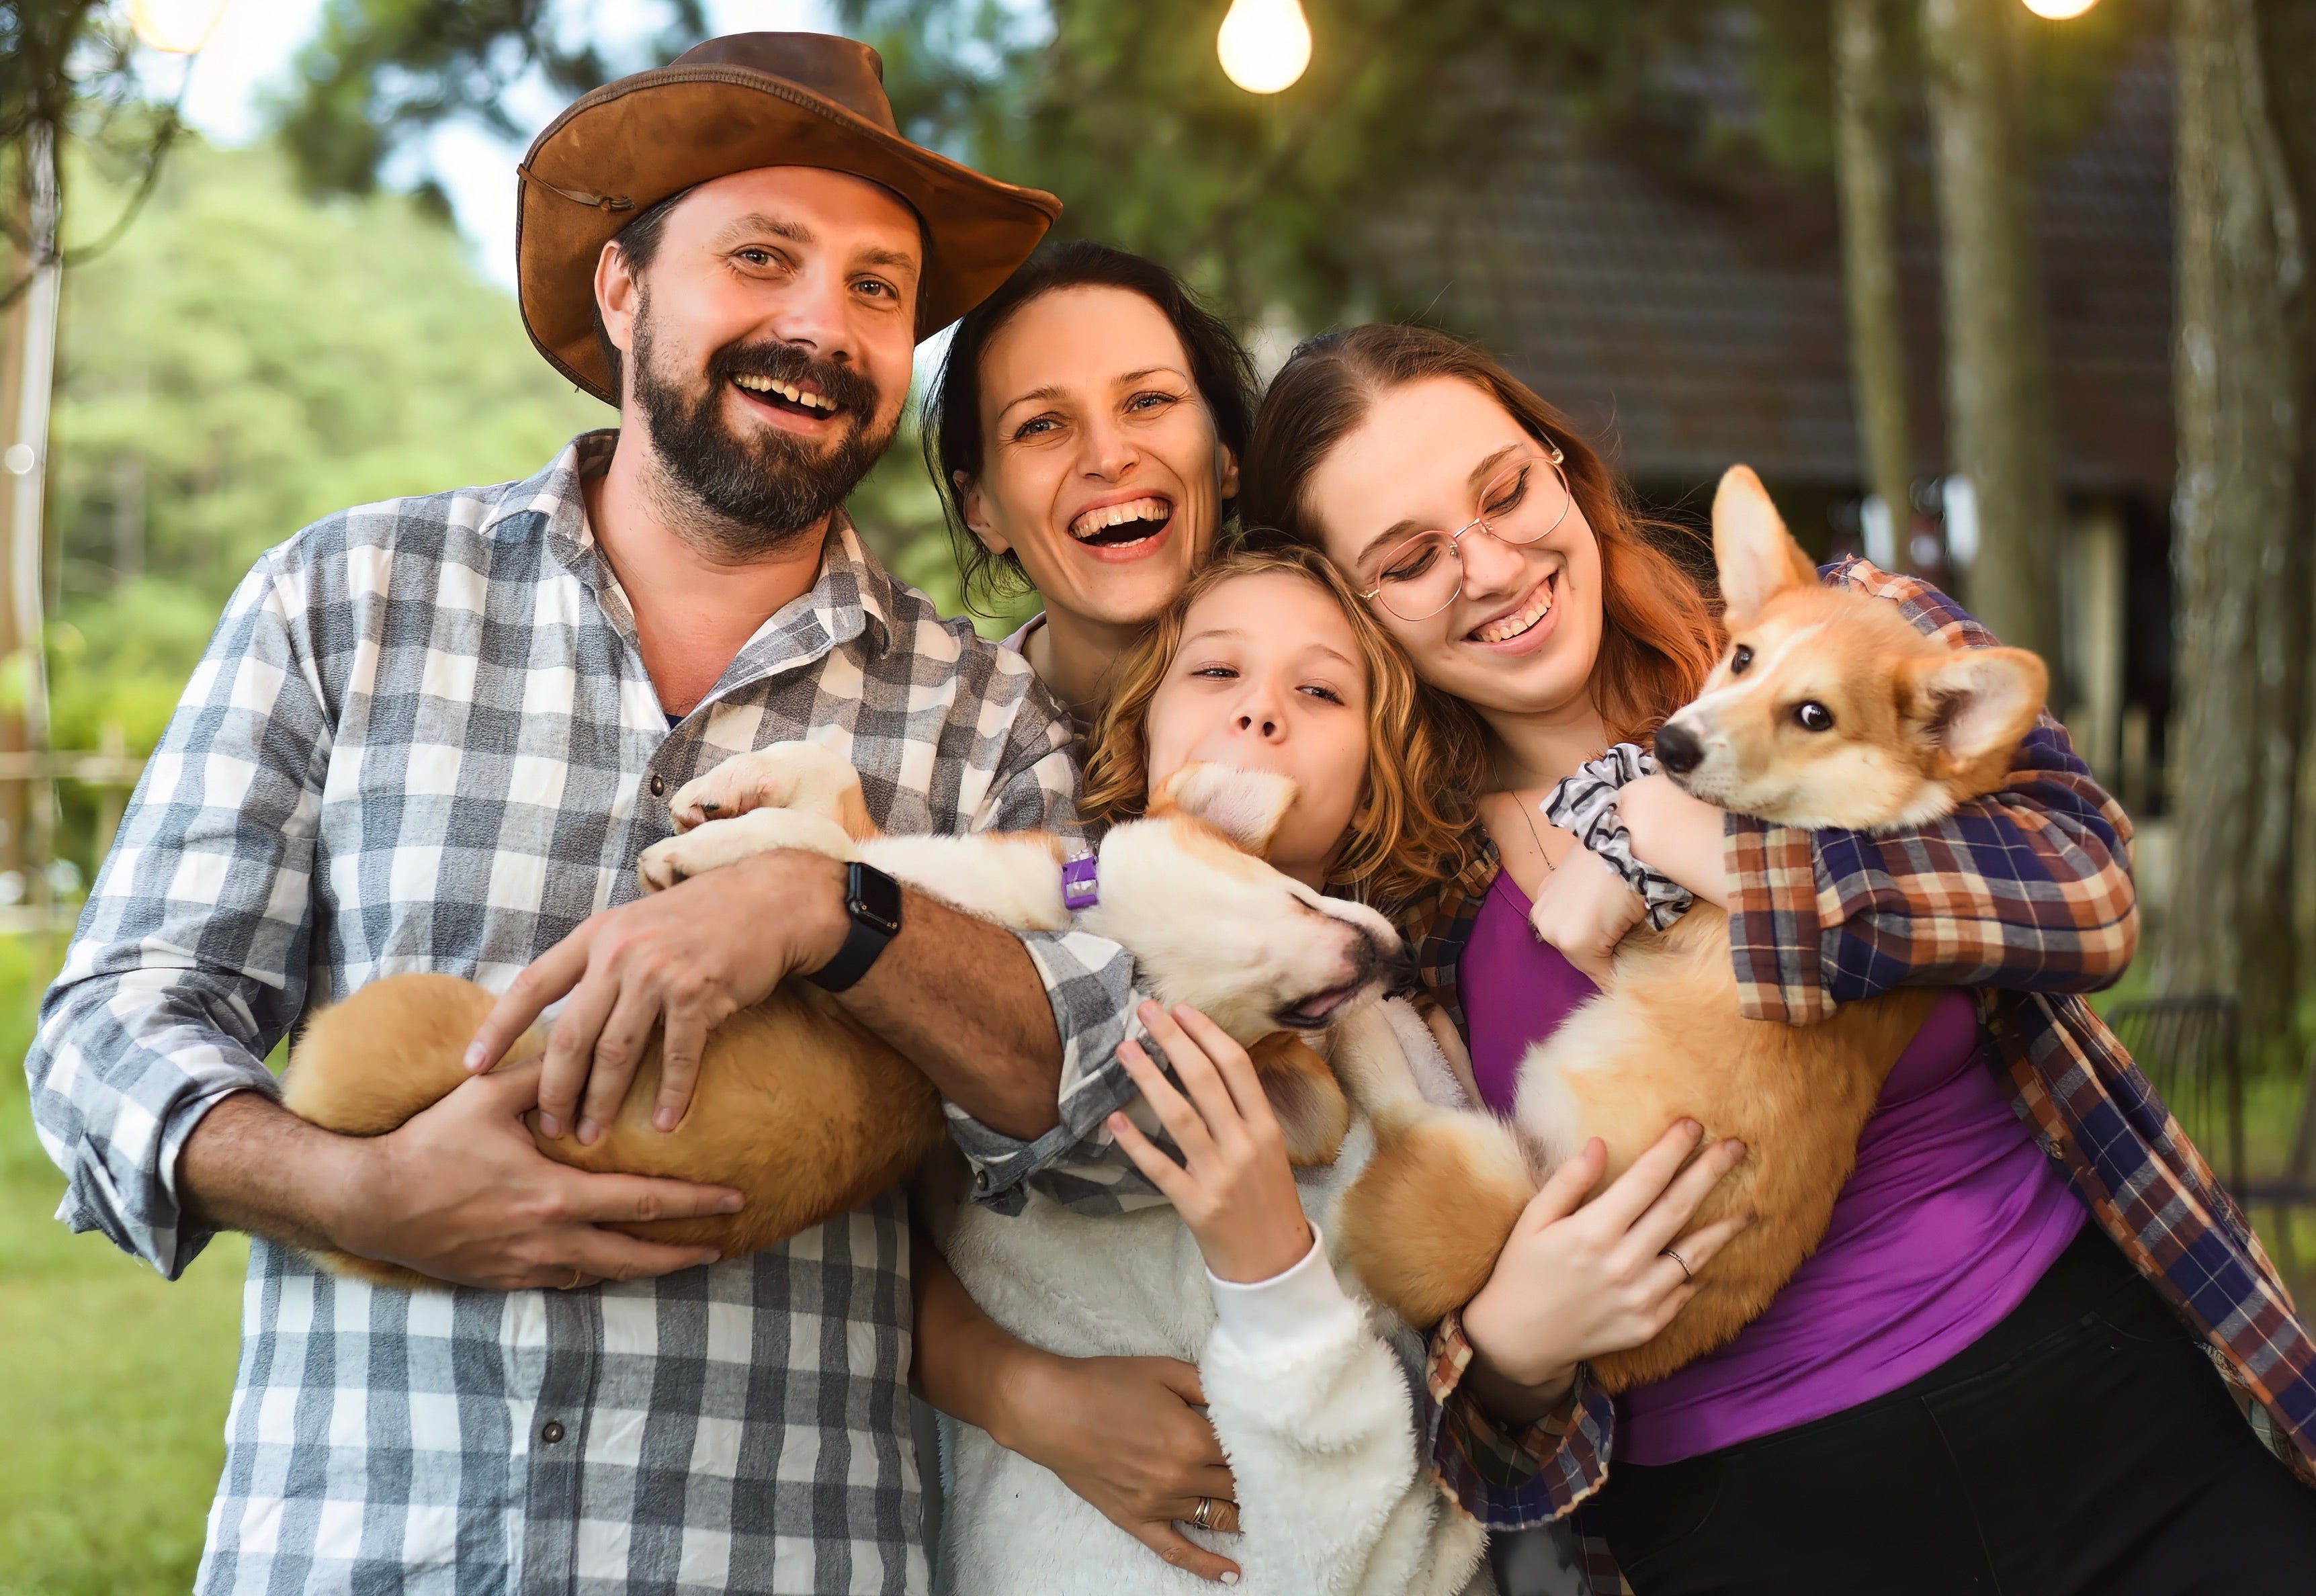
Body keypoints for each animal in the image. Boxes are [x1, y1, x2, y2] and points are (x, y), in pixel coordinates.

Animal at [282, 755, 1380, 1288]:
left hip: (420, 1015)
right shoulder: (883, 833)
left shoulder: (870, 886)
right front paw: (714, 793)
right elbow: (820, 762)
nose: (1394, 960)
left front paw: (701, 853)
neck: (1082, 918)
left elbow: (806, 844)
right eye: (1302, 892)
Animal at [1343, 468, 2047, 1390]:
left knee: (1401, 1107)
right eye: (1742, 657)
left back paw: (1362, 1020)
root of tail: (1613, 1367)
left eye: (1815, 716)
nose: (1672, 744)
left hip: (1486, 1176)